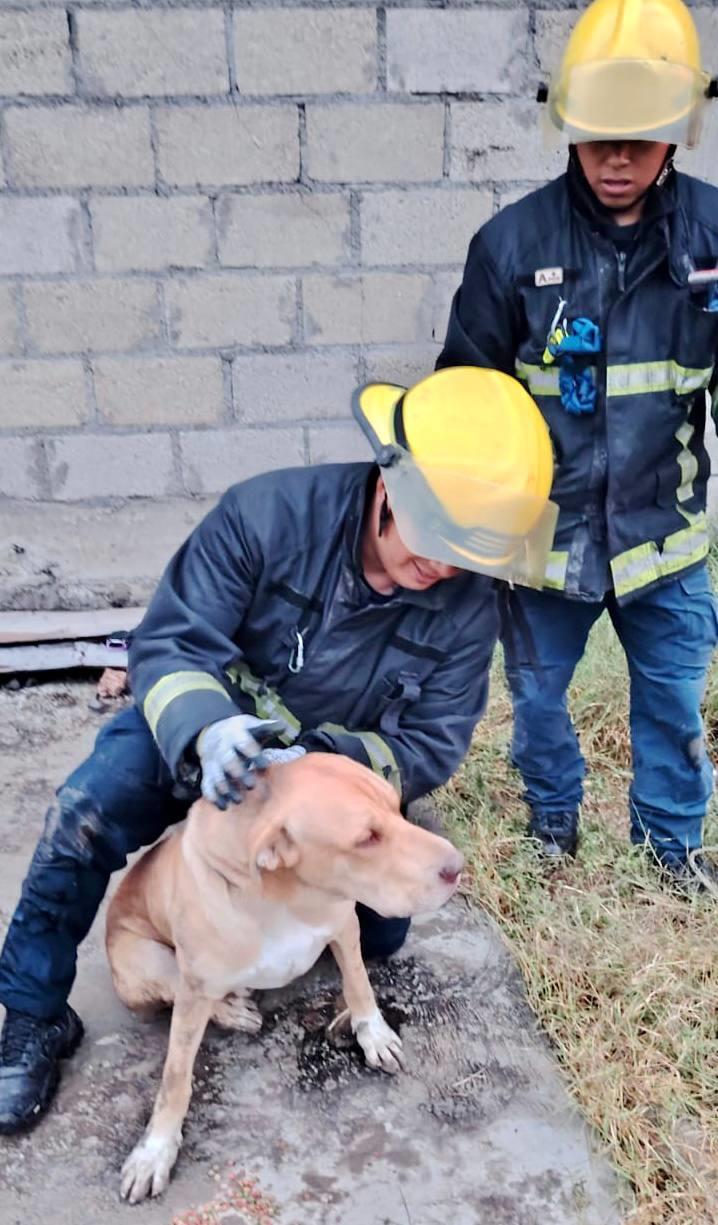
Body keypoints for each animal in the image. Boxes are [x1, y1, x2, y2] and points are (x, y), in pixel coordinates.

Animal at [105, 749, 463, 1200]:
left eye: (397, 807)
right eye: (366, 838)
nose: (458, 866)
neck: (285, 897)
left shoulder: (344, 924)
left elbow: (359, 983)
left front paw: (373, 1033)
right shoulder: (194, 985)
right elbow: (175, 1078)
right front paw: (155, 1150)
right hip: (143, 962)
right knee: (176, 990)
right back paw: (232, 1010)